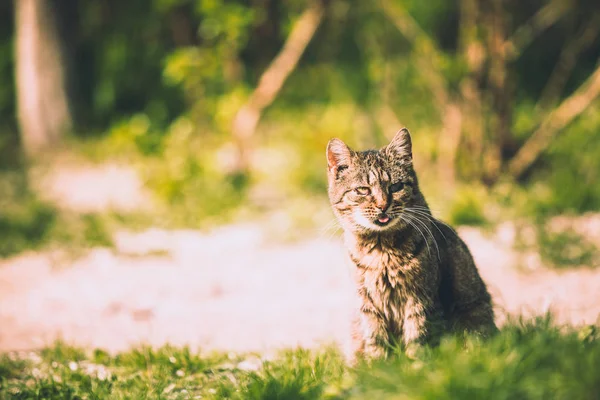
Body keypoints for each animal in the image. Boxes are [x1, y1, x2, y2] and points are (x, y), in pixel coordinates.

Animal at [328, 128, 496, 360]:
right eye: (363, 190)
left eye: (396, 186)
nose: (383, 205)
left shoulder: (420, 299)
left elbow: (418, 338)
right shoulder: (367, 304)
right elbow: (376, 341)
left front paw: (415, 365)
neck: (381, 251)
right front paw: (376, 366)